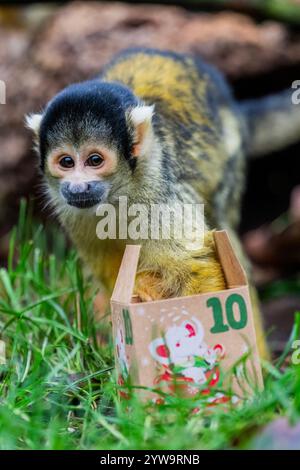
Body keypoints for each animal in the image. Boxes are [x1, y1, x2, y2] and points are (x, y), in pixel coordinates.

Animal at [26, 48, 300, 356]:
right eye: (66, 162)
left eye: (94, 160)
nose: (77, 186)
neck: (118, 193)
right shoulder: (74, 214)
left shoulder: (158, 194)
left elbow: (198, 267)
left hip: (229, 162)